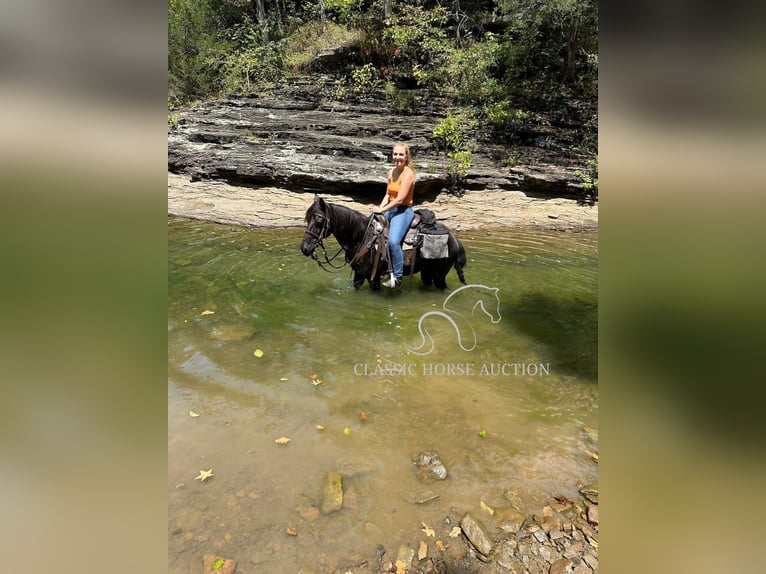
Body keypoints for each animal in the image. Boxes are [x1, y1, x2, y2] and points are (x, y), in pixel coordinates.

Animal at [302, 197, 468, 292]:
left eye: (318, 219)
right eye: (307, 218)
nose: (304, 248)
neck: (362, 236)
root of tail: (454, 238)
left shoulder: (372, 277)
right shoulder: (359, 275)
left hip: (440, 274)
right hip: (427, 272)